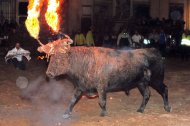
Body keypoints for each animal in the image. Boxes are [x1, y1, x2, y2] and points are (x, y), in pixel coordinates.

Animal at [37, 41, 171, 118]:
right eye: (51, 58)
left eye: (60, 59)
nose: (48, 73)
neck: (85, 62)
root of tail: (153, 50)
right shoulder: (80, 87)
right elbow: (73, 100)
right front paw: (66, 113)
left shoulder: (101, 87)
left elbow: (102, 101)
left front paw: (103, 113)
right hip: (141, 83)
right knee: (147, 94)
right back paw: (140, 109)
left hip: (156, 80)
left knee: (164, 89)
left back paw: (167, 107)